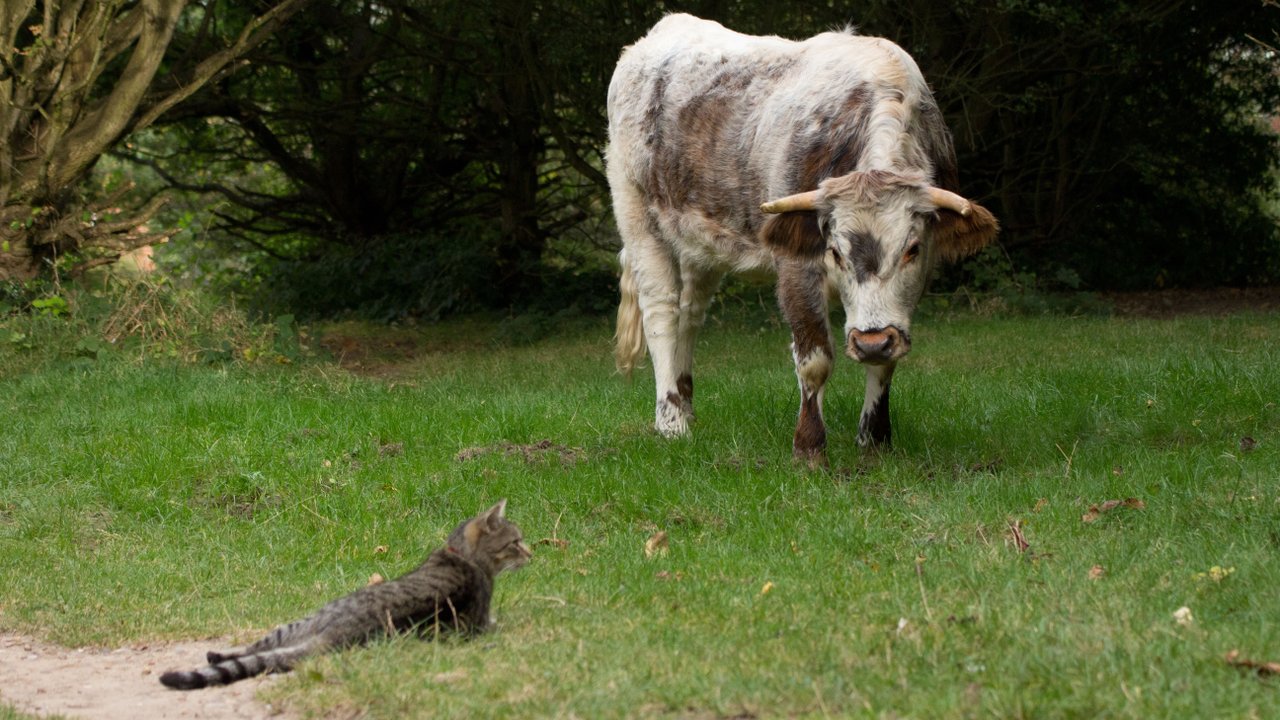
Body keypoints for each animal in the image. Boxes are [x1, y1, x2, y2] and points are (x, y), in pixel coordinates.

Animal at [158, 497, 529, 686]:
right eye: (515, 542)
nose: (531, 554)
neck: (463, 555)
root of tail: (335, 635)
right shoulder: (484, 622)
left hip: (302, 622)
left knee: (253, 649)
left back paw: (216, 655)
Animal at [609, 12, 998, 458]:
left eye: (912, 249)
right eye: (835, 253)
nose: (870, 343)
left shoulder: (905, 296)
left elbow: (886, 364)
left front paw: (874, 441)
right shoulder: (797, 265)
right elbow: (815, 360)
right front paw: (809, 447)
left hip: (699, 239)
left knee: (690, 313)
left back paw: (687, 406)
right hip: (636, 213)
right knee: (662, 312)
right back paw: (671, 422)